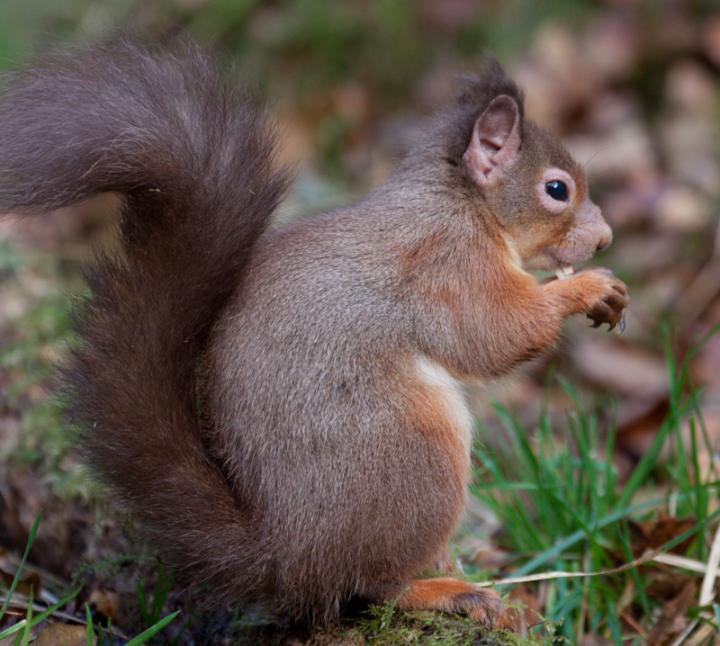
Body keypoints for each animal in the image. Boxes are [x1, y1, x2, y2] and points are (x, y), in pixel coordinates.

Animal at [0, 40, 624, 628]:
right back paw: (448, 591)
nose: (605, 240)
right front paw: (588, 288)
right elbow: (493, 334)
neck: (461, 203)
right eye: (557, 190)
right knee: (372, 584)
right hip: (416, 455)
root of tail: (288, 557)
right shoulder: (446, 264)